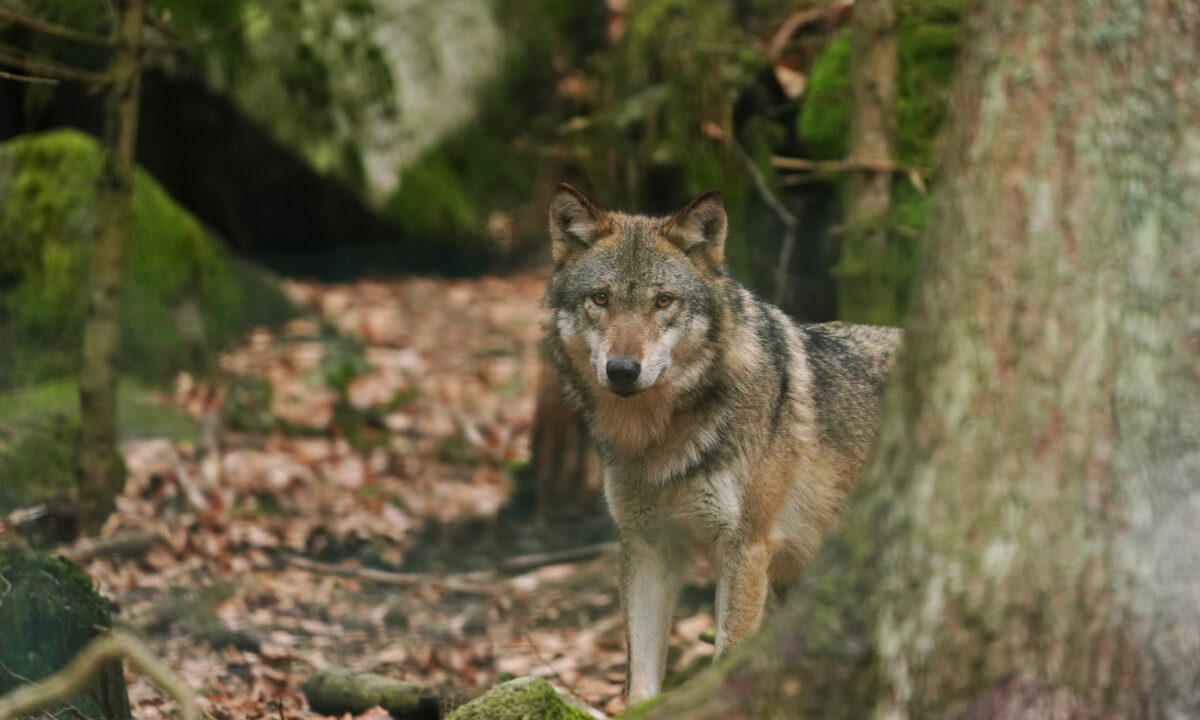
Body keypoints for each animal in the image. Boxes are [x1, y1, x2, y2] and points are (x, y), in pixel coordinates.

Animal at [542, 184, 901, 704]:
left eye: (663, 301)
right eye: (600, 299)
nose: (623, 370)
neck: (658, 443)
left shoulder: (746, 550)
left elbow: (727, 660)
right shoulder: (647, 548)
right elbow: (639, 681)